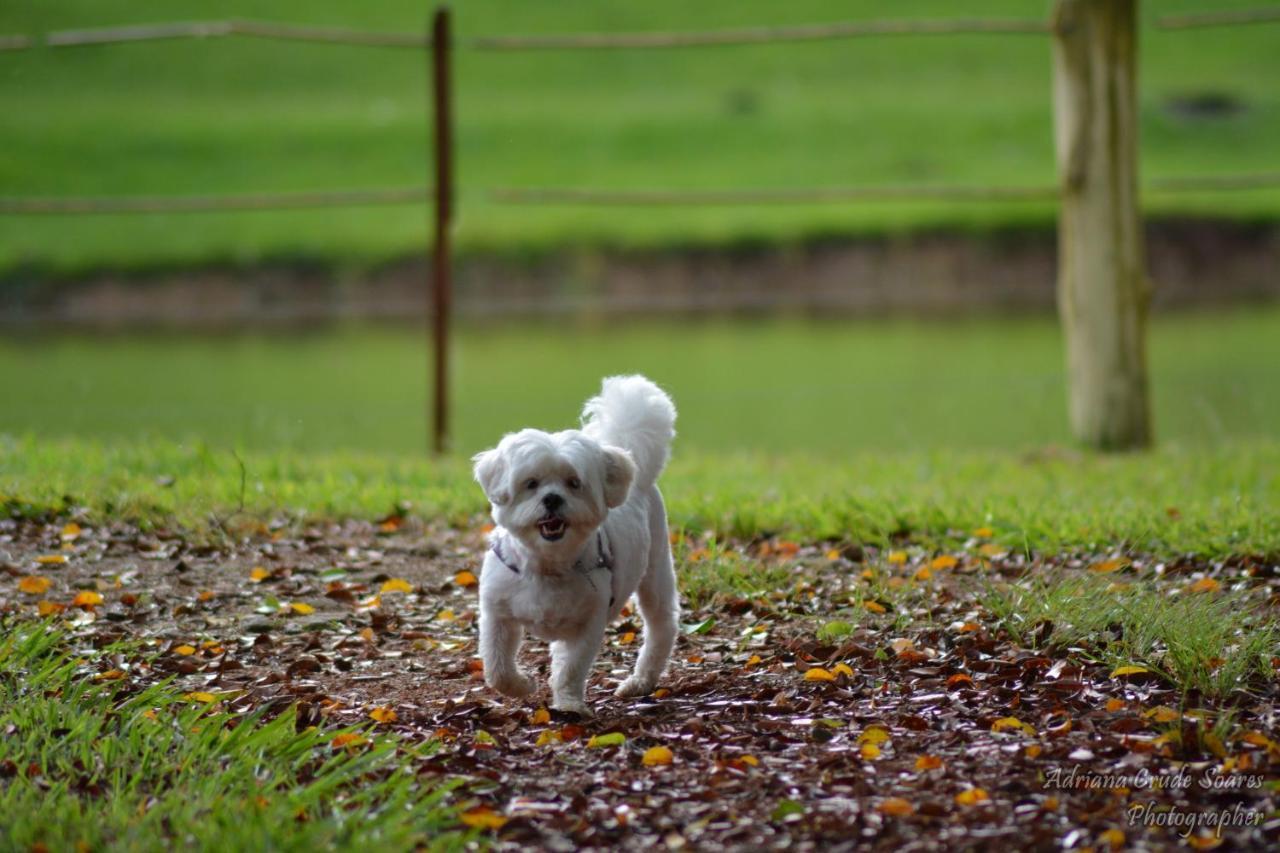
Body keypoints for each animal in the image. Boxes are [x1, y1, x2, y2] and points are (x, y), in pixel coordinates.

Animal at [473, 376, 680, 712]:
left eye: (574, 483)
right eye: (531, 483)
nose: (552, 499)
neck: (547, 566)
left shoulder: (588, 624)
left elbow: (571, 668)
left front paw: (569, 705)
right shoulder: (497, 613)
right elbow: (497, 666)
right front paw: (522, 685)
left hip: (656, 571)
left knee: (662, 626)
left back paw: (640, 681)